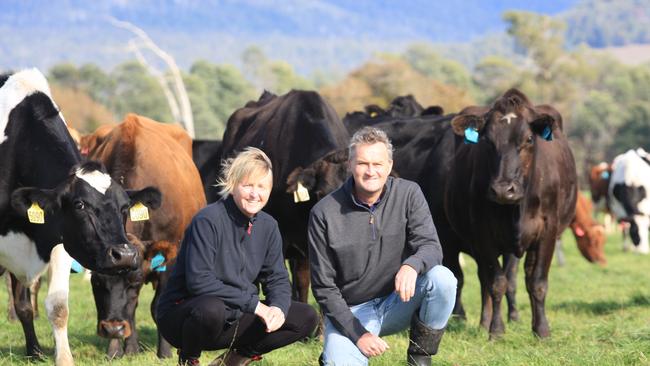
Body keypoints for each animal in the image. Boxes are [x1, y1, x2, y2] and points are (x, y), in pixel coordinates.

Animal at [0, 68, 158, 364]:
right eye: (79, 205)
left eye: (124, 207)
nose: (124, 255)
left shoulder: (62, 241)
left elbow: (58, 306)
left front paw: (63, 358)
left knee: (24, 304)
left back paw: (34, 351)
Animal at [85, 113, 204, 358]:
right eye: (96, 281)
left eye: (135, 280)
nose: (112, 328)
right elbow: (129, 309)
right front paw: (120, 351)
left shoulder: (170, 258)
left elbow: (159, 306)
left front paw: (165, 352)